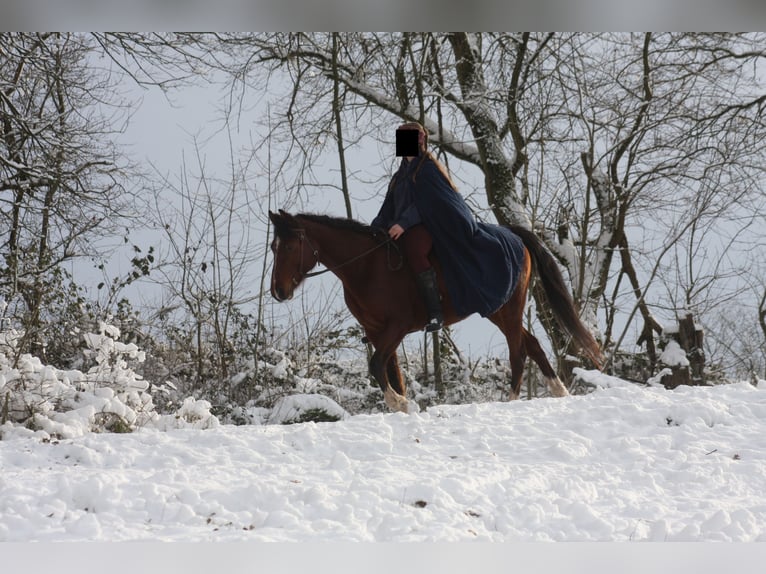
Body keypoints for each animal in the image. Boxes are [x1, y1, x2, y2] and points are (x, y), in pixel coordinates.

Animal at [268, 209, 603, 413]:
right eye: (274, 247)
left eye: (288, 247)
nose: (278, 291)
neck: (367, 267)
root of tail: (515, 236)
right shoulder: (376, 331)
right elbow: (391, 371)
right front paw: (403, 405)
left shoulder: (396, 327)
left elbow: (376, 366)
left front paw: (401, 404)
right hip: (495, 309)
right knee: (531, 344)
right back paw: (560, 392)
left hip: (509, 308)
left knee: (518, 352)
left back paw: (513, 400)